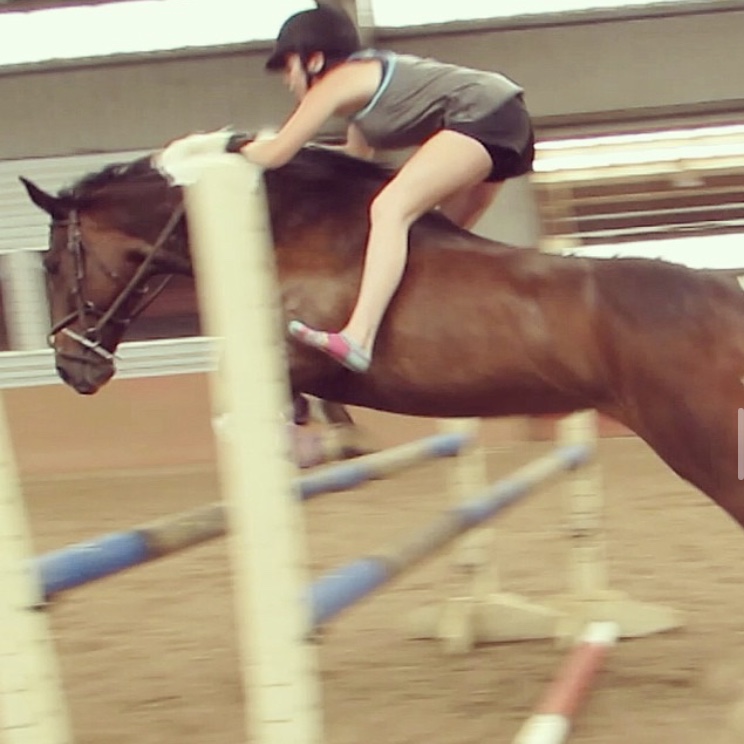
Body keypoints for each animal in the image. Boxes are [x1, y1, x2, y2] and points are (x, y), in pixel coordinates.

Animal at [18, 145, 744, 528]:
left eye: (51, 264)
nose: (72, 370)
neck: (284, 228)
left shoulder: (298, 353)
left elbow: (255, 401)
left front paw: (312, 446)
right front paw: (333, 444)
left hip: (703, 447)